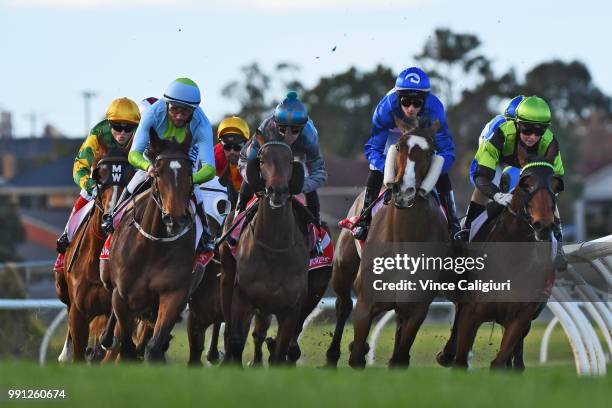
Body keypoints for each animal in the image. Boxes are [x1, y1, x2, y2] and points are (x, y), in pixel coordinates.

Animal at [107, 129, 197, 362]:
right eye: (157, 173)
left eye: (189, 174)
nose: (175, 220)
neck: (152, 248)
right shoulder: (121, 297)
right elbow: (125, 347)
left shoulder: (173, 294)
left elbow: (154, 346)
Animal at [220, 131, 310, 366]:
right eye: (261, 160)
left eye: (290, 161)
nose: (277, 191)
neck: (274, 247)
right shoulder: (242, 297)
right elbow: (236, 340)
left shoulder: (291, 309)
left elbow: (279, 351)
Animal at [438, 145, 560, 372]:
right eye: (526, 184)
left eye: (556, 185)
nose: (544, 225)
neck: (512, 260)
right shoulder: (471, 312)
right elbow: (460, 359)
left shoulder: (521, 318)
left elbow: (500, 361)